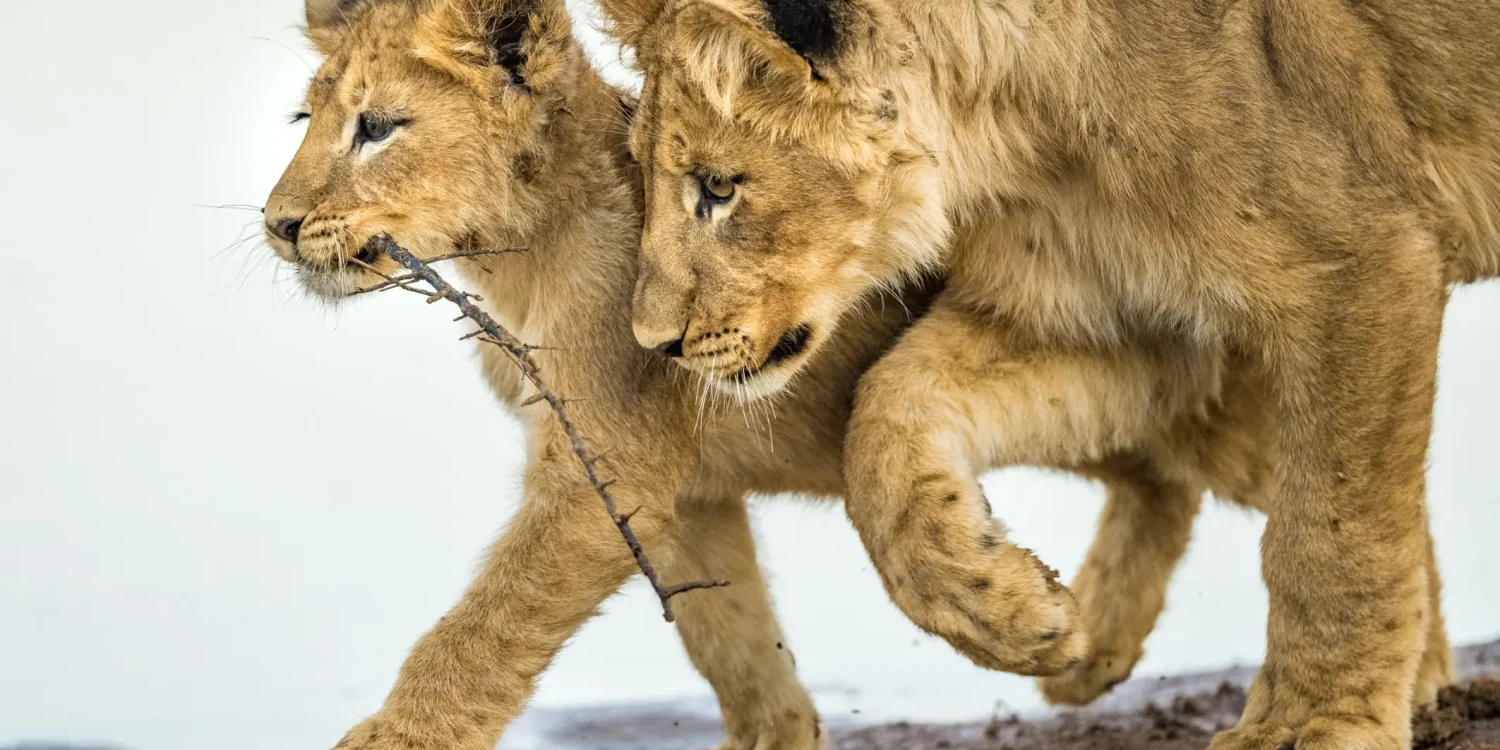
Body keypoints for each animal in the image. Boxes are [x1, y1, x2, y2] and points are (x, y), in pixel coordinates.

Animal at [596, 0, 1500, 747]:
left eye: (718, 187)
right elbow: (884, 413)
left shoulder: (1362, 259)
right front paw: (1010, 611)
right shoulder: (1114, 320)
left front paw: (1312, 726)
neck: (1032, 139)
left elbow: (1332, 532)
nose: (652, 340)